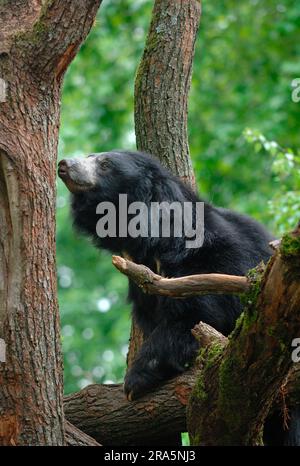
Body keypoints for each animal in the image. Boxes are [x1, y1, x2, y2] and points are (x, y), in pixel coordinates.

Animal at [58, 151, 298, 446]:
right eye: (90, 157)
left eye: (105, 164)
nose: (64, 164)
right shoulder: (143, 286)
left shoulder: (211, 262)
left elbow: (197, 316)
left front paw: (135, 381)